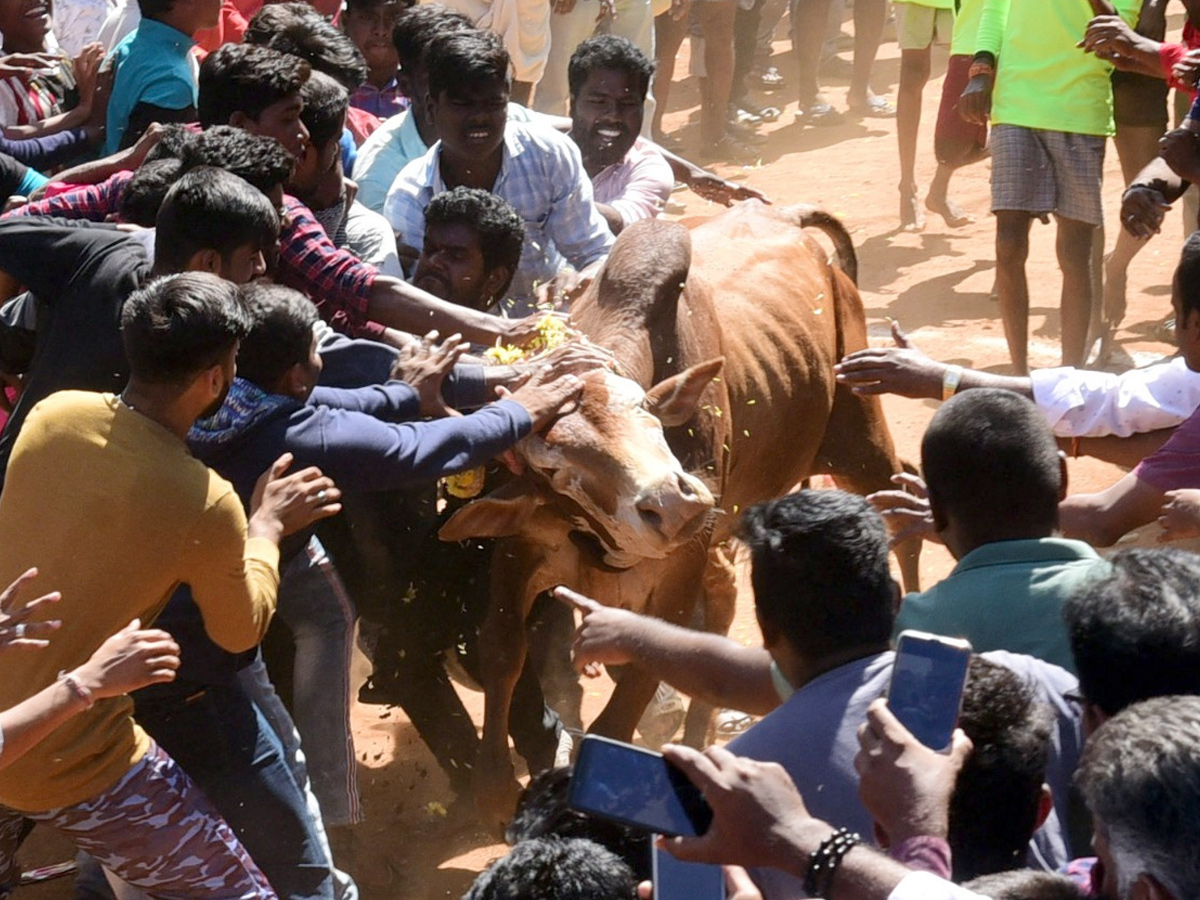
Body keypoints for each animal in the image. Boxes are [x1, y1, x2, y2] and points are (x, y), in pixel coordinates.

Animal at [441, 202, 916, 825]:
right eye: (557, 471)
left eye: (647, 412)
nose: (673, 502)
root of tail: (784, 217)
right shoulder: (523, 548)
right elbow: (501, 648)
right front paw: (492, 781)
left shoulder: (679, 568)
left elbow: (629, 697)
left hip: (855, 435)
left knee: (902, 506)